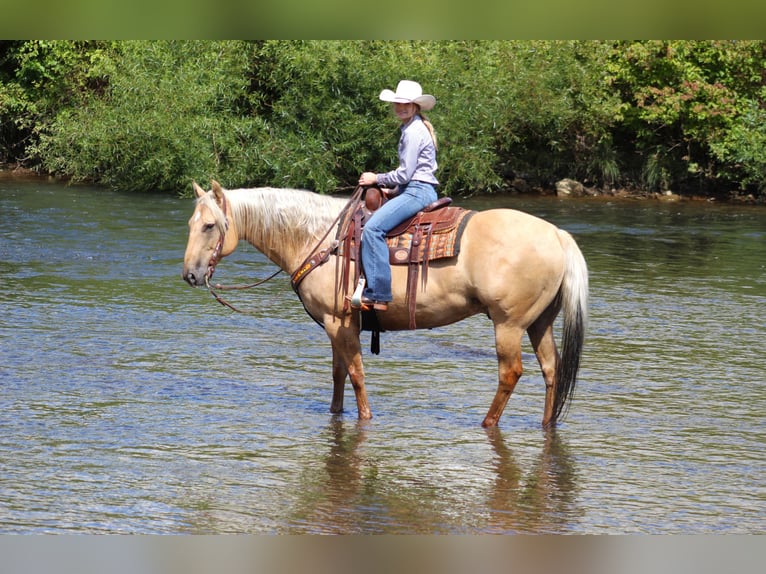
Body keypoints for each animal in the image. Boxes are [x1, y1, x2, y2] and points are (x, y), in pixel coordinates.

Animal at [183, 182, 592, 430]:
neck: (319, 240)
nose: (189, 274)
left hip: (508, 324)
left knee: (511, 373)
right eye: (191, 223)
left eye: (209, 226)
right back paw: (547, 424)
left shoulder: (340, 321)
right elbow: (338, 374)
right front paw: (335, 414)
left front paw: (365, 418)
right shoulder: (336, 325)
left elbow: (356, 374)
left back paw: (487, 423)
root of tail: (558, 235)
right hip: (539, 322)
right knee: (551, 369)